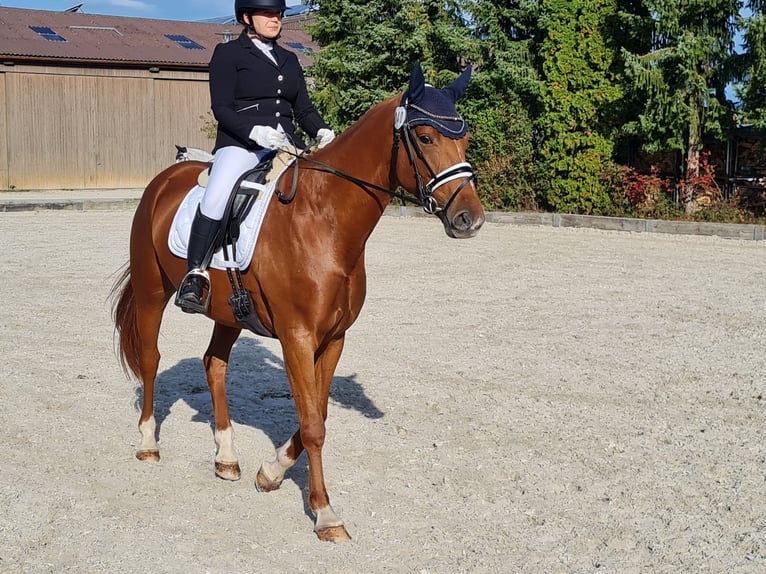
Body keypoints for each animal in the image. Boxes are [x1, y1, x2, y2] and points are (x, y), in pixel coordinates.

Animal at [110, 62, 485, 543]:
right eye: (425, 137)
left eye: (465, 137)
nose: (469, 219)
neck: (324, 220)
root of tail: (161, 182)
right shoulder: (297, 338)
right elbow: (313, 425)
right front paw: (325, 513)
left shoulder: (333, 339)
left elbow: (317, 414)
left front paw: (270, 472)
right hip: (152, 293)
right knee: (151, 359)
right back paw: (147, 444)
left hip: (228, 313)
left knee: (214, 364)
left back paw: (226, 457)